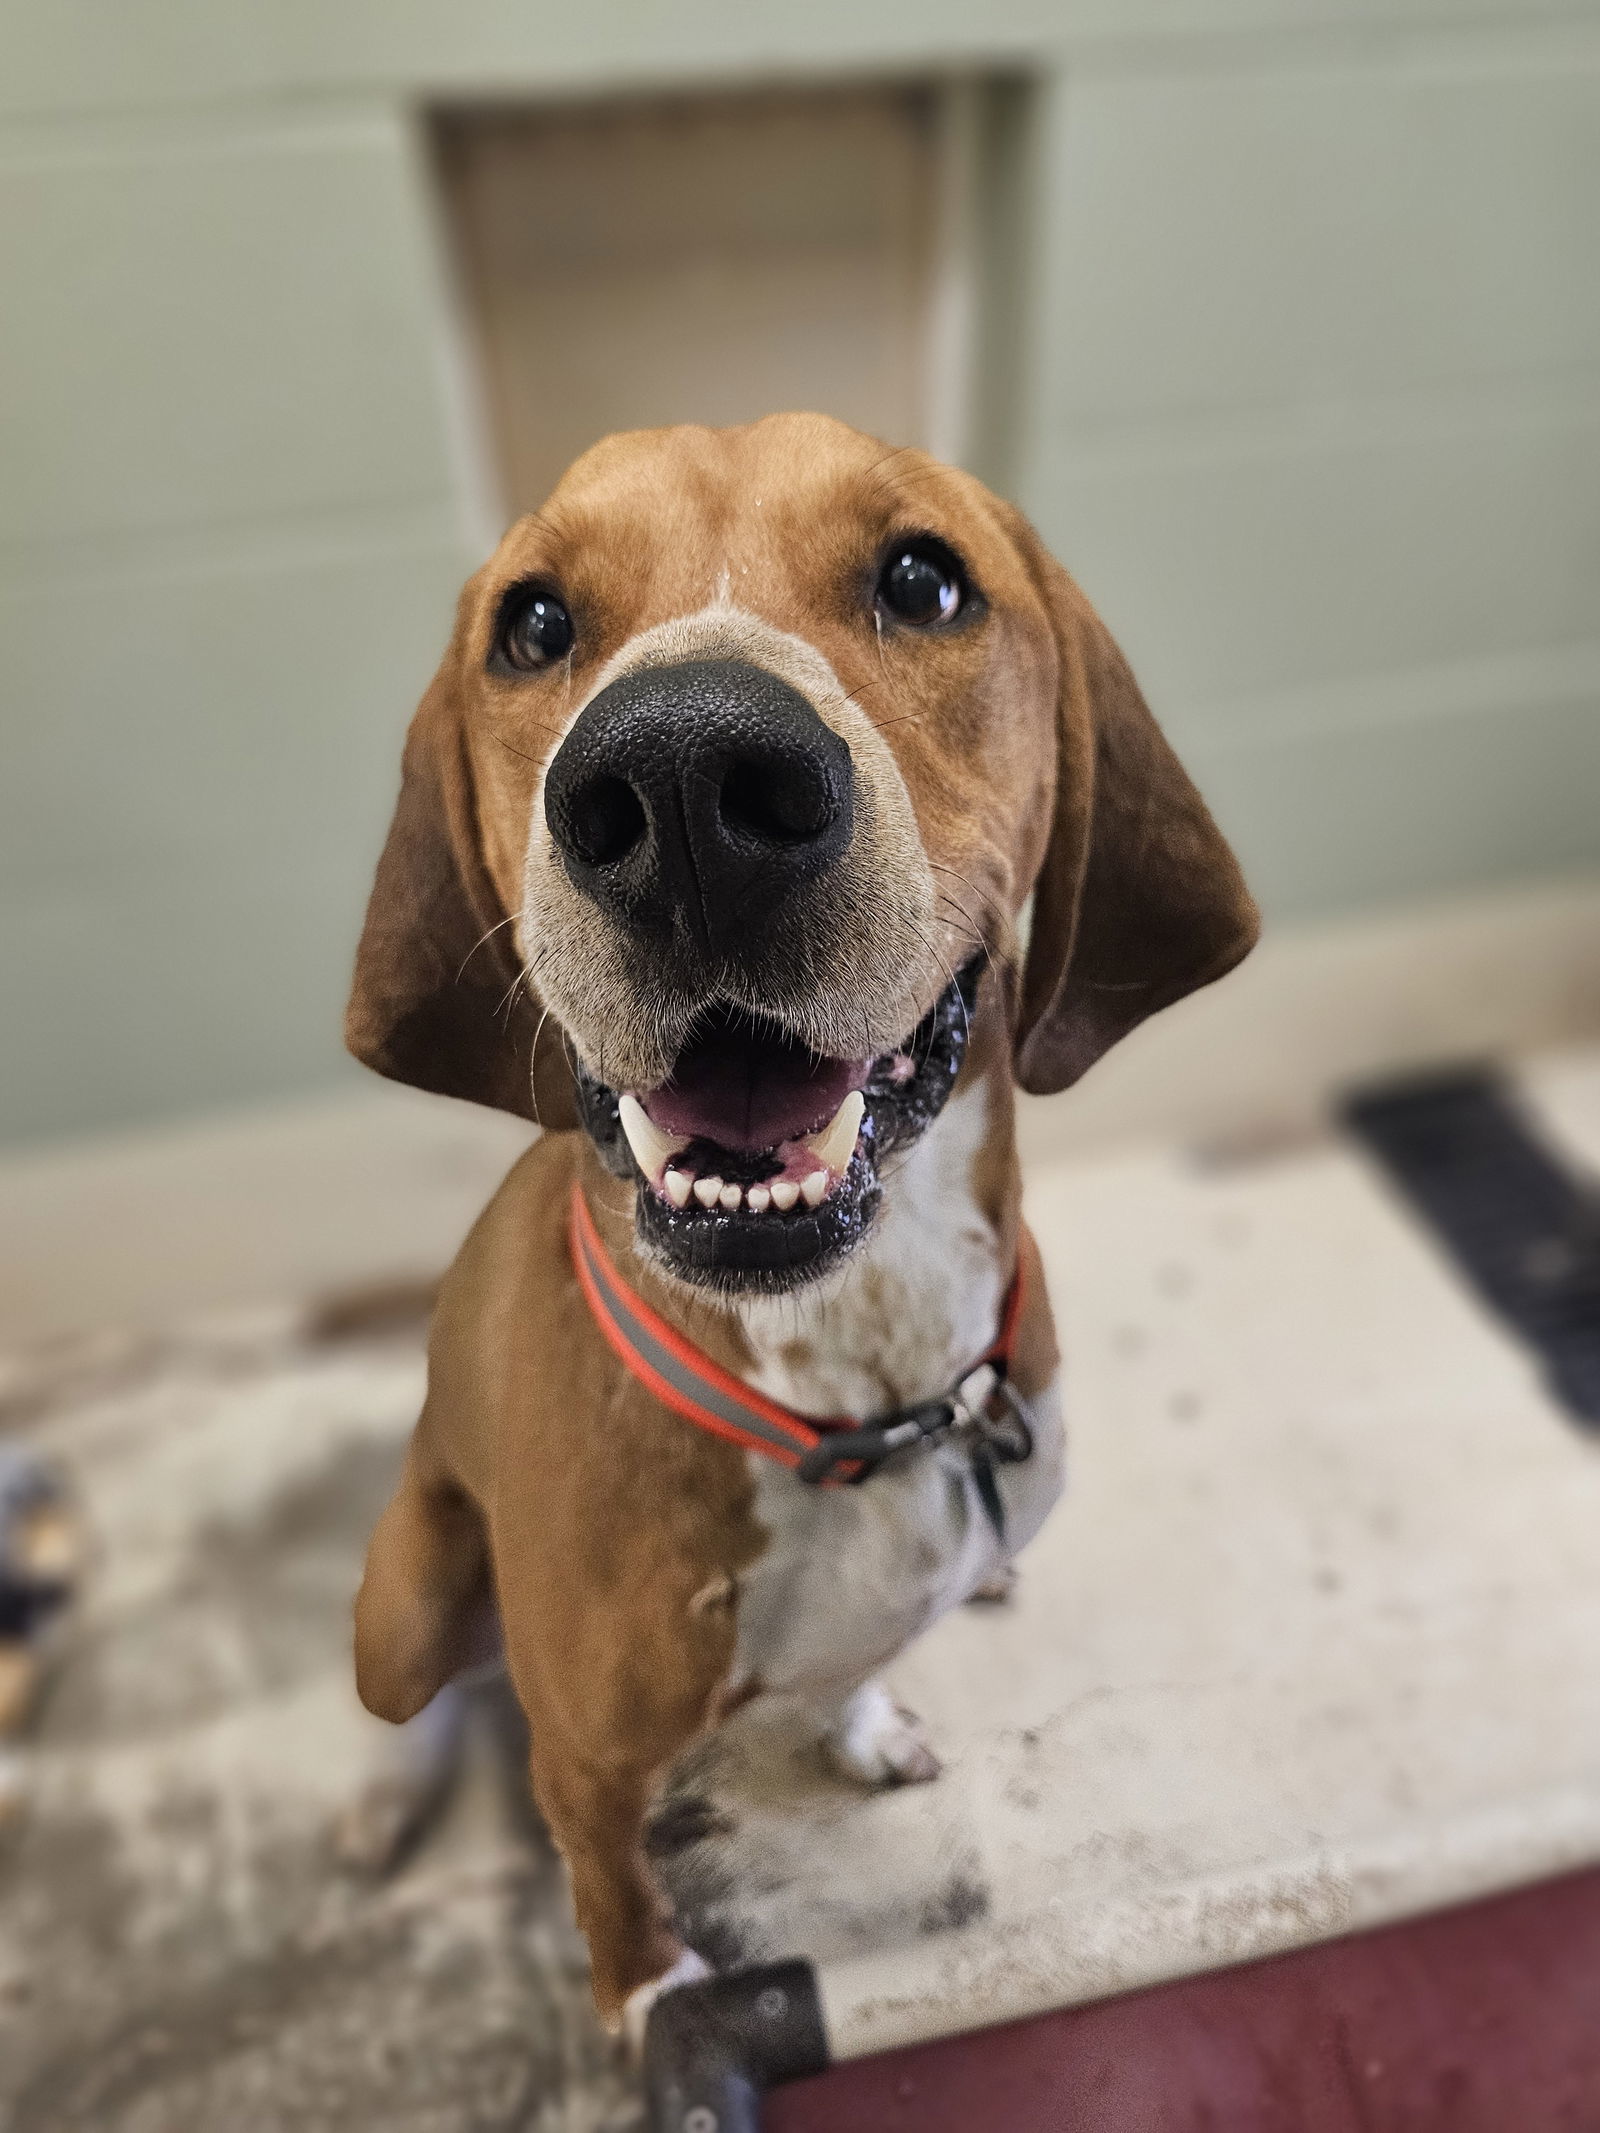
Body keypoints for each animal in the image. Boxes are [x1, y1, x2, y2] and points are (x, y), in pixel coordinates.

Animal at [345, 411, 1262, 2030]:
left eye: (924, 579)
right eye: (534, 623)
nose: (683, 778)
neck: (859, 1382)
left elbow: (857, 1662)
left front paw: (865, 1719)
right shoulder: (583, 1766)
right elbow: (617, 1891)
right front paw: (653, 2006)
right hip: (406, 1591)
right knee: (406, 1692)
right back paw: (381, 1794)